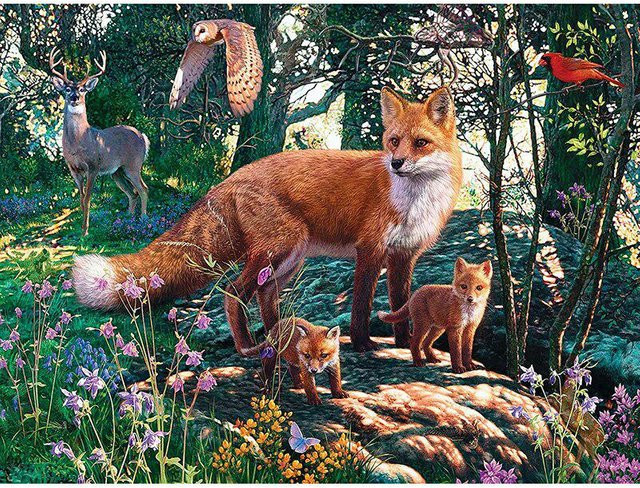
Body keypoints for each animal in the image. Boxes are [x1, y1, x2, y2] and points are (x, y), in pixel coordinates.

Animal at [72, 86, 462, 353]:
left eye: (420, 143)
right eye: (394, 141)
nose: (396, 163)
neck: (414, 200)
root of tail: (231, 178)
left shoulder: (403, 256)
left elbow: (401, 303)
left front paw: (404, 343)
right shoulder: (370, 249)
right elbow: (362, 303)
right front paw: (365, 344)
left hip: (289, 259)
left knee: (263, 294)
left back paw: (280, 339)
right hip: (279, 248)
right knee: (234, 292)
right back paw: (247, 347)